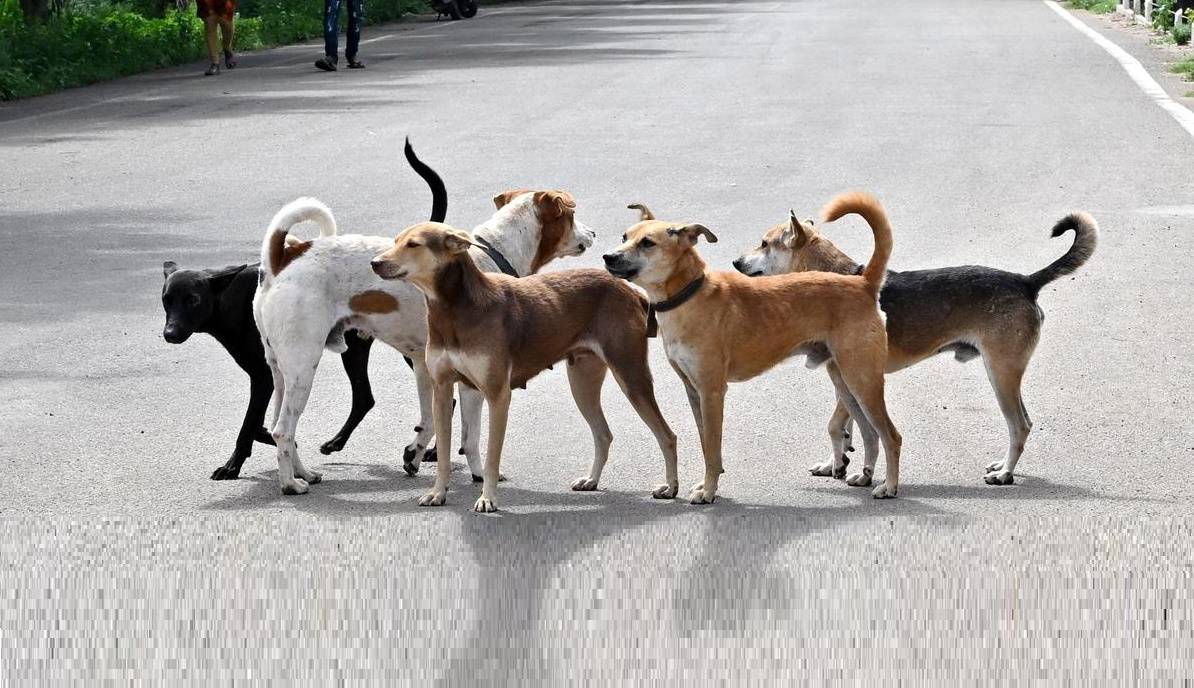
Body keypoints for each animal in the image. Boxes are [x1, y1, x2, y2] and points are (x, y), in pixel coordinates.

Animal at [160, 139, 446, 479]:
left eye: (193, 300)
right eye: (166, 300)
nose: (169, 333)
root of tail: (276, 264)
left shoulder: (262, 379)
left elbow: (252, 425)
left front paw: (233, 464)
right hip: (327, 359)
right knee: (337, 408)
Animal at [254, 189, 596, 495]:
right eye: (571, 214)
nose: (594, 231)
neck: (490, 255)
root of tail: (283, 258)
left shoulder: (423, 366)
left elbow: (429, 421)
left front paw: (416, 454)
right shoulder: (470, 384)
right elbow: (470, 437)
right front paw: (479, 474)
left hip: (282, 374)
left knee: (281, 429)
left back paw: (303, 473)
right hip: (303, 369)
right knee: (283, 429)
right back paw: (290, 484)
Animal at [369, 223, 679, 512]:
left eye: (413, 244)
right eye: (396, 241)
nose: (374, 262)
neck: (456, 309)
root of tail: (631, 290)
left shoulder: (497, 395)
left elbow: (492, 457)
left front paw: (487, 499)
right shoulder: (443, 391)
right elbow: (444, 454)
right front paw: (437, 493)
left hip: (631, 374)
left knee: (667, 435)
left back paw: (670, 487)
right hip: (582, 381)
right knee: (603, 434)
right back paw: (591, 480)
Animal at [604, 191, 902, 501]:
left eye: (647, 243)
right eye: (624, 236)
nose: (608, 257)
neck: (690, 294)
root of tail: (863, 283)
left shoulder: (711, 392)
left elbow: (712, 449)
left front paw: (708, 490)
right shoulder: (694, 391)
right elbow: (704, 444)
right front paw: (701, 485)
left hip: (862, 381)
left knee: (892, 436)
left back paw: (890, 486)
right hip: (846, 384)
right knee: (871, 434)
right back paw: (866, 475)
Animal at [732, 207, 1098, 486]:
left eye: (764, 243)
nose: (735, 262)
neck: (835, 275)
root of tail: (1025, 282)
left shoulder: (849, 374)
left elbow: (838, 423)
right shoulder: (847, 376)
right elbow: (844, 425)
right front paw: (836, 462)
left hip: (1001, 372)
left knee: (1020, 425)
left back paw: (1005, 473)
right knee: (1024, 423)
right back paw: (1002, 464)